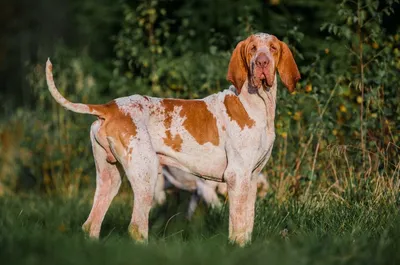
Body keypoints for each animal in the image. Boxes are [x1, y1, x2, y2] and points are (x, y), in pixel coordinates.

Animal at [45, 33, 298, 245]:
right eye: (253, 48)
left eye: (273, 48)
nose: (263, 62)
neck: (256, 103)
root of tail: (110, 107)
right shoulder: (236, 177)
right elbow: (237, 225)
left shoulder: (251, 178)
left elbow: (247, 224)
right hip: (145, 175)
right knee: (136, 227)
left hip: (110, 178)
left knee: (91, 225)